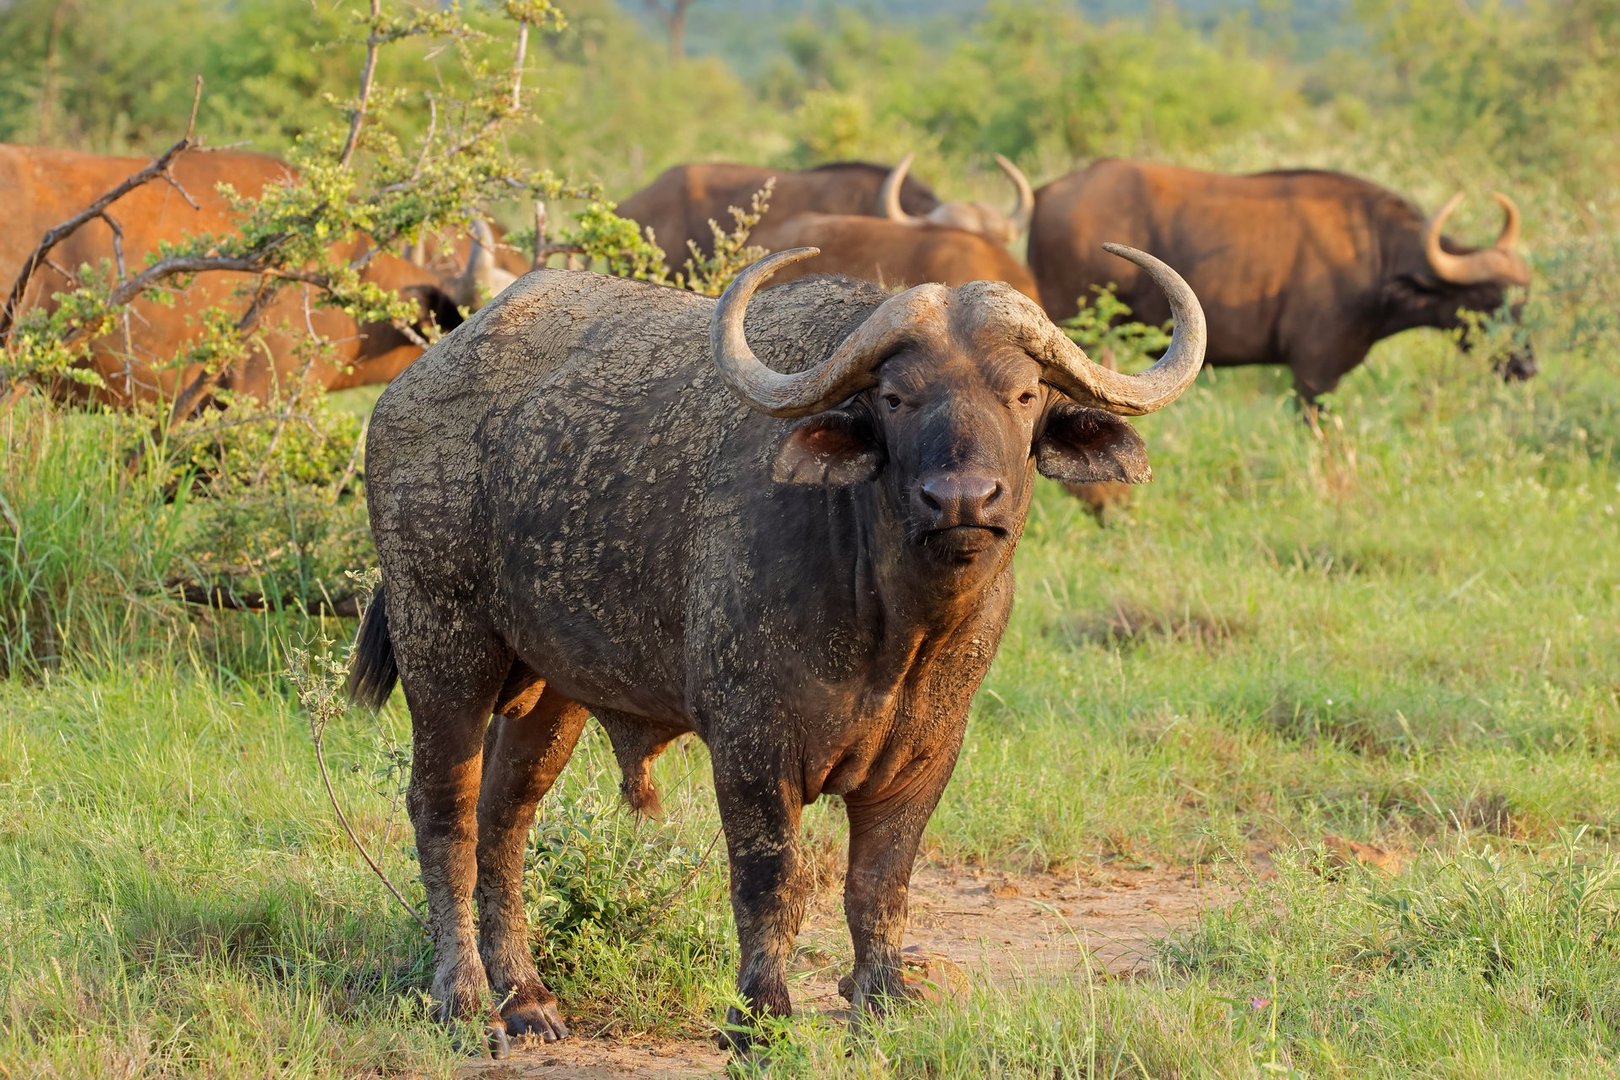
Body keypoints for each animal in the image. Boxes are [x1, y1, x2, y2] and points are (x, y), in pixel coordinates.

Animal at [345, 242, 1206, 1054]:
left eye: (1023, 394)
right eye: (896, 397)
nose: (962, 500)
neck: (893, 624)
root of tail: (410, 393)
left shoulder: (929, 752)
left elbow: (879, 882)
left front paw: (882, 1000)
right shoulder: (750, 744)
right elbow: (772, 881)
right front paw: (759, 1017)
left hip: (549, 690)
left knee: (505, 814)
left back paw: (526, 999)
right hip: (442, 645)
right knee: (444, 814)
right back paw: (462, 1002)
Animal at [1028, 159, 1535, 406]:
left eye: (1524, 301)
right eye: (1487, 299)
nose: (1527, 368)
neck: (1373, 254)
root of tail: (1045, 193)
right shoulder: (1313, 373)